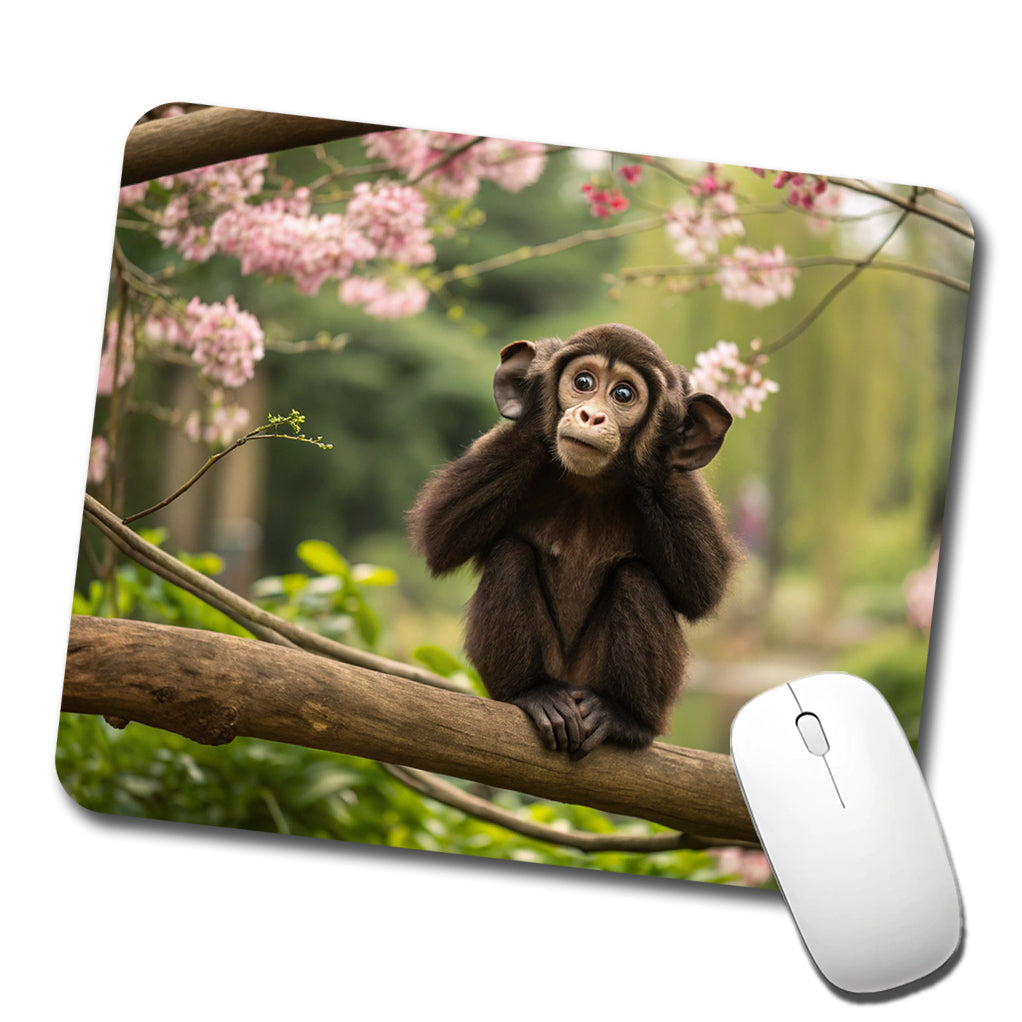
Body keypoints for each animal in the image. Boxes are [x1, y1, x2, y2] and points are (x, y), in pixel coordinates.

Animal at [409, 323, 737, 759]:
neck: (590, 483)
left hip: (596, 680)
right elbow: (441, 534)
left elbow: (703, 586)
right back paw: (534, 694)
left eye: (623, 394)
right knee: (511, 554)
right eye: (583, 383)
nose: (589, 414)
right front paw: (536, 403)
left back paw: (624, 719)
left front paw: (656, 439)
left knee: (636, 579)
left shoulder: (684, 484)